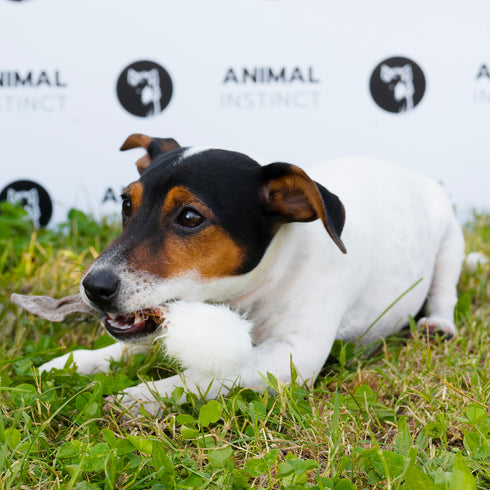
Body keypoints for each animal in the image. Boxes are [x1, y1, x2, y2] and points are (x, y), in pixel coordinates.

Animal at [36, 133, 466, 414]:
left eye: (190, 217)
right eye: (127, 203)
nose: (93, 287)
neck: (265, 282)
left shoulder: (294, 356)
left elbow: (206, 373)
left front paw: (139, 397)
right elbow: (126, 347)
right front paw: (74, 362)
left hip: (451, 243)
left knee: (445, 292)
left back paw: (438, 325)